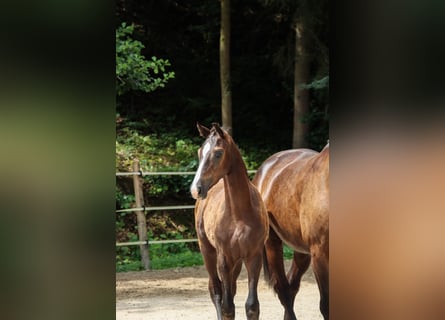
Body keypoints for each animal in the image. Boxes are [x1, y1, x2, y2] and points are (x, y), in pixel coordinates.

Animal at [190, 123, 268, 320]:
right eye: (200, 151)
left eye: (218, 153)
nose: (196, 188)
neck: (239, 215)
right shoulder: (224, 258)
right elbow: (227, 307)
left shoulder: (253, 256)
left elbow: (252, 306)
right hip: (207, 251)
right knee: (216, 291)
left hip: (237, 261)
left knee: (230, 289)